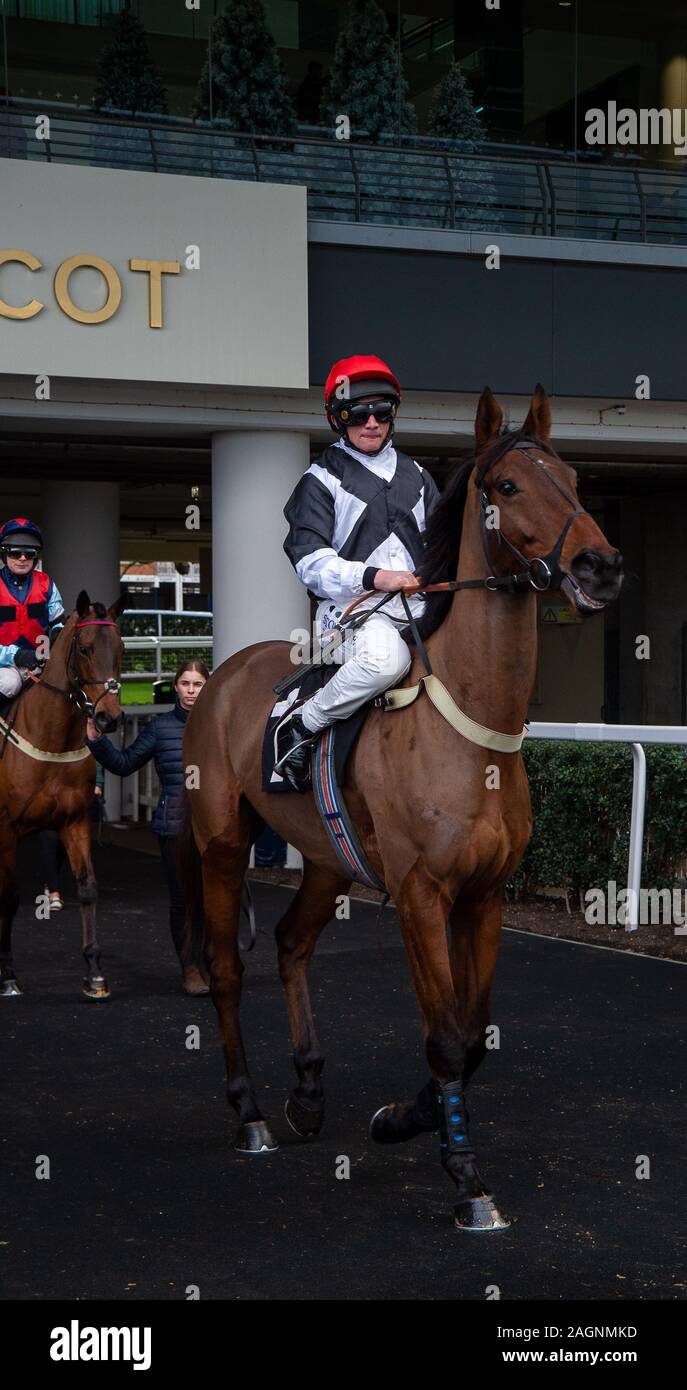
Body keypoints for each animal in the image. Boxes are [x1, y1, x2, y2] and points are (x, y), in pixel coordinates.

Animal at [0, 592, 123, 1006]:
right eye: (84, 649)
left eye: (121, 648)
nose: (108, 718)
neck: (51, 738)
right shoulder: (6, 829)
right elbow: (9, 896)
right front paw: (7, 974)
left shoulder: (75, 821)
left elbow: (88, 887)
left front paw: (95, 973)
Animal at [182, 386, 623, 1234]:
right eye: (508, 486)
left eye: (574, 477)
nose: (600, 564)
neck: (471, 732)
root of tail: (223, 674)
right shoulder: (421, 893)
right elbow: (445, 1037)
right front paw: (465, 1179)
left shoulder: (483, 895)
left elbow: (472, 1037)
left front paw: (399, 1119)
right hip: (219, 842)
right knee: (226, 966)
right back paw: (248, 1110)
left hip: (326, 859)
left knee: (290, 943)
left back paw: (307, 1091)